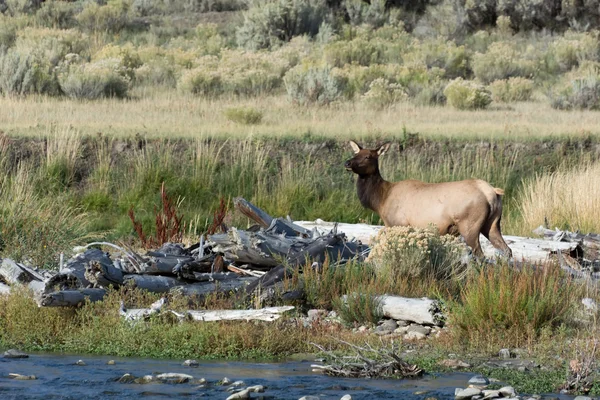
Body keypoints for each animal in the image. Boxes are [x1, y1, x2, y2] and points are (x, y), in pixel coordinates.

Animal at [344, 141, 512, 260]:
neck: (381, 200)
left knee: (480, 255)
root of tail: (491, 192)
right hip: (492, 223)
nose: (347, 163)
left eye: (368, 156)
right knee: (507, 250)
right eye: (355, 153)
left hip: (469, 224)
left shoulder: (397, 223)